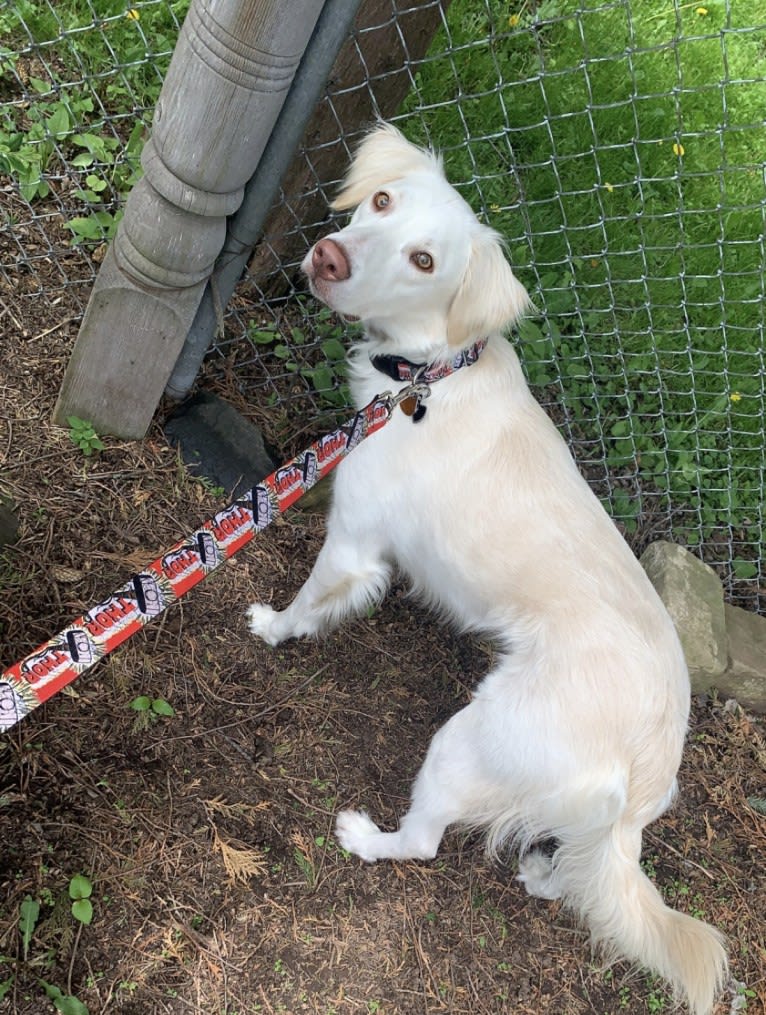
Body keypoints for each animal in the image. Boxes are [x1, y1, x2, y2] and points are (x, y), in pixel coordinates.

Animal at [247, 122, 730, 1010]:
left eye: (424, 261)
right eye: (379, 200)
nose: (328, 257)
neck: (434, 372)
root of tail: (646, 767)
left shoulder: (354, 541)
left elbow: (310, 601)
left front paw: (274, 627)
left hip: (466, 740)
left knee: (424, 842)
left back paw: (366, 835)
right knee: (572, 875)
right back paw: (545, 875)